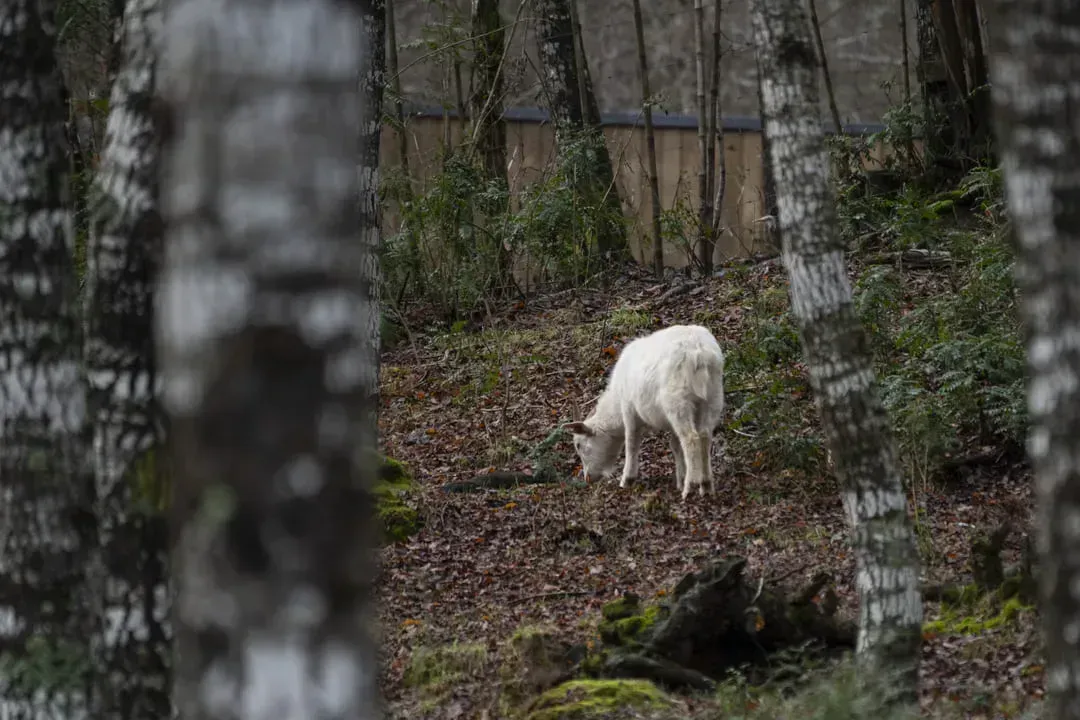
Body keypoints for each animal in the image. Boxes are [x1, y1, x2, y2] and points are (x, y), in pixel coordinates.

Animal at [566, 324, 726, 499]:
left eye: (579, 445)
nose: (588, 478)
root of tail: (699, 353)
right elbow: (675, 446)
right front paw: (680, 478)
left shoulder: (629, 409)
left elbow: (631, 442)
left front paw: (627, 479)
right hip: (713, 397)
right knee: (704, 435)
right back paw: (706, 485)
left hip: (677, 402)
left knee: (691, 438)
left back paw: (689, 488)